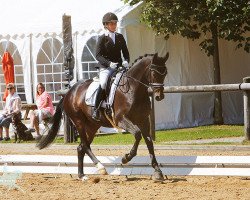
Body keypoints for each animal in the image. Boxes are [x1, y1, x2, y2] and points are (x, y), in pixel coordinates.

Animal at [37, 52, 169, 182]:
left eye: (165, 73)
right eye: (153, 72)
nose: (159, 96)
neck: (133, 89)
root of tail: (69, 92)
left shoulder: (144, 121)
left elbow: (149, 142)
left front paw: (158, 172)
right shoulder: (121, 119)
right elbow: (137, 134)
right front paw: (126, 158)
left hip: (92, 126)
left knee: (81, 147)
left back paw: (82, 175)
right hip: (79, 122)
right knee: (85, 146)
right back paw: (101, 167)